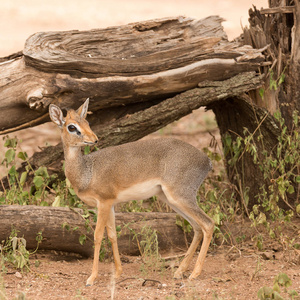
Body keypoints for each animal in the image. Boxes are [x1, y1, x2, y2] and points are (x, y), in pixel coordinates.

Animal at [48, 99, 213, 286]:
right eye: (72, 126)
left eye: (87, 123)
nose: (94, 139)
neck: (87, 172)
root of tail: (207, 161)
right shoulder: (109, 205)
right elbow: (113, 235)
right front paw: (118, 273)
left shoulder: (104, 202)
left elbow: (98, 236)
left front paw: (91, 277)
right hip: (171, 199)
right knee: (197, 227)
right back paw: (179, 272)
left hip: (180, 197)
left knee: (208, 224)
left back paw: (194, 274)